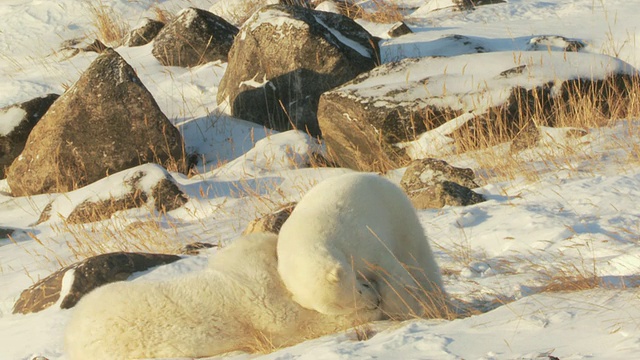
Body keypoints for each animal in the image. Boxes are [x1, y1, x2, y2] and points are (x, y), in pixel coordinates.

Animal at [278, 173, 448, 320]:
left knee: (417, 256)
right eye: (352, 307)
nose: (376, 302)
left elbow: (389, 271)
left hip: (397, 214)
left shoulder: (356, 242)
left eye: (358, 290)